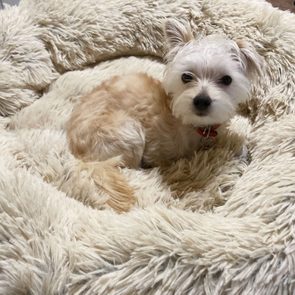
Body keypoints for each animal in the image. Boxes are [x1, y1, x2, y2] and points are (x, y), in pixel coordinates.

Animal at [67, 18, 264, 213]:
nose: (201, 100)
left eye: (227, 79)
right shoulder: (158, 149)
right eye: (186, 76)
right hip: (128, 132)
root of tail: (83, 158)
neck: (195, 125)